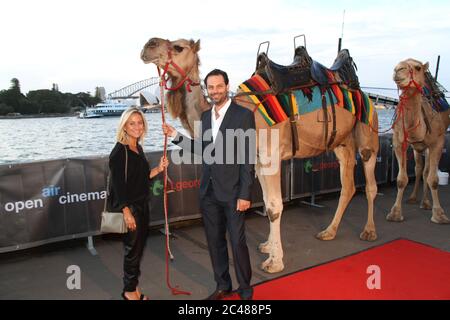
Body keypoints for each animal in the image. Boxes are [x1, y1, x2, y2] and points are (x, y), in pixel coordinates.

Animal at [141, 37, 380, 272]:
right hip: (342, 143)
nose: (148, 45)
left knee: (370, 183)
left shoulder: (269, 157)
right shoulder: (256, 161)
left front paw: (275, 262)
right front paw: (267, 246)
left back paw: (369, 231)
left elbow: (274, 206)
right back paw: (329, 231)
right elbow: (267, 202)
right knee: (348, 186)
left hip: (368, 133)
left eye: (178, 47)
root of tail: (365, 94)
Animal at [386, 58, 450, 222]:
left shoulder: (437, 142)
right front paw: (395, 213)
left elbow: (433, 179)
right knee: (419, 168)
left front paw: (439, 214)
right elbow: (401, 179)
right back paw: (414, 198)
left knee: (426, 172)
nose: (397, 70)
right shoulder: (399, 142)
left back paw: (426, 202)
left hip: (428, 146)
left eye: (418, 67)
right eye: (398, 64)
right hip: (417, 147)